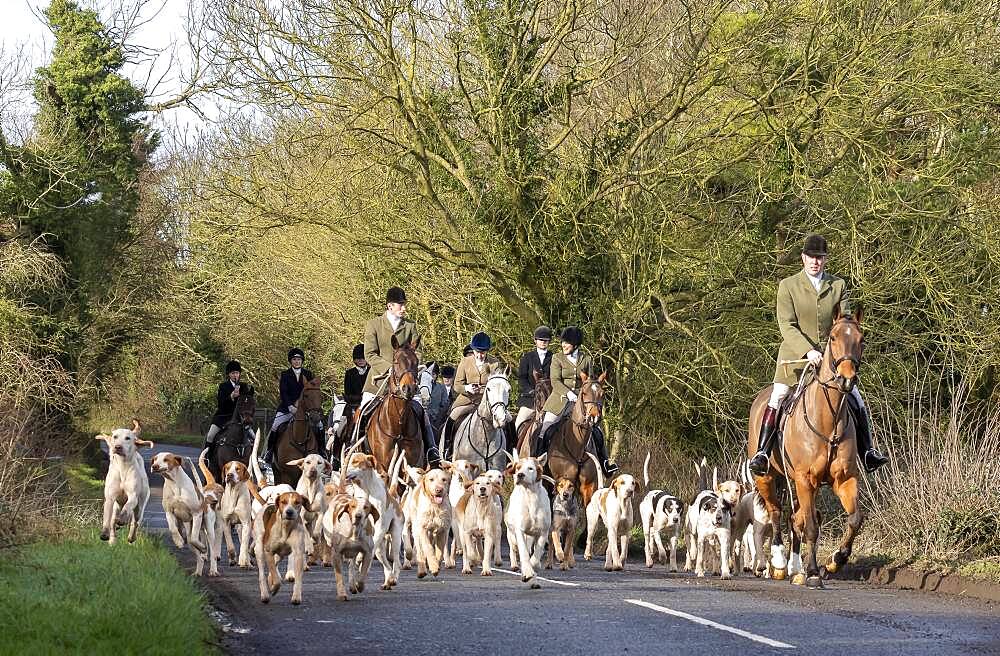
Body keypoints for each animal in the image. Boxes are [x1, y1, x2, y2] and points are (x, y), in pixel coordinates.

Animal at [544, 372, 604, 510]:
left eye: (602, 393)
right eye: (584, 393)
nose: (593, 416)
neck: (578, 446)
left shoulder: (588, 486)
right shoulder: (561, 483)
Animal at [752, 304, 868, 588]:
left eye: (861, 340)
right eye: (834, 338)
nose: (847, 380)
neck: (828, 421)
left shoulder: (844, 479)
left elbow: (855, 518)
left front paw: (836, 560)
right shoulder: (806, 479)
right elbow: (812, 527)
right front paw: (814, 572)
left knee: (796, 518)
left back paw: (795, 569)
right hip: (767, 477)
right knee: (776, 513)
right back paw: (779, 564)